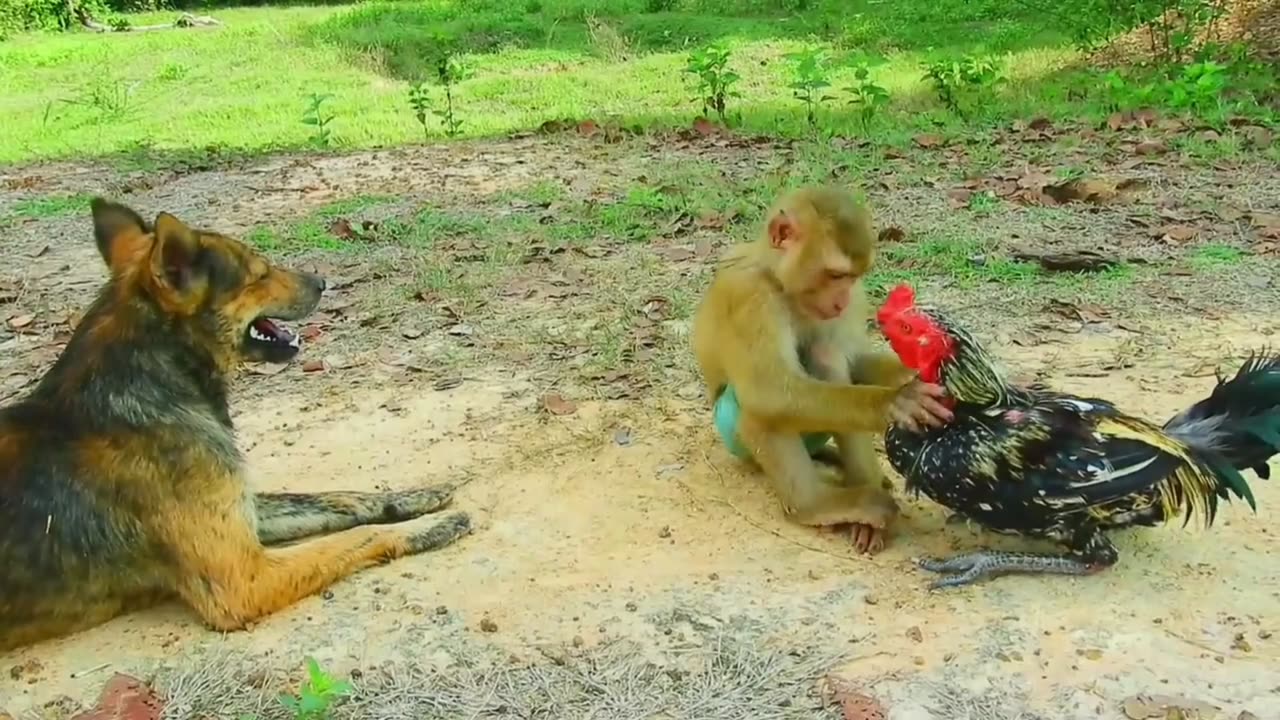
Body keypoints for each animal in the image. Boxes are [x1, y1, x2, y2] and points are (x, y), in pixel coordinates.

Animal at [0, 197, 471, 650]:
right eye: (258, 274)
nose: (322, 282)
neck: (147, 384)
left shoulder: (242, 511)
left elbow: (339, 499)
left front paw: (411, 497)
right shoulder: (243, 581)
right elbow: (357, 537)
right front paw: (427, 528)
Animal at [691, 183, 952, 548]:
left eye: (852, 277)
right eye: (835, 274)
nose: (841, 300)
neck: (779, 283)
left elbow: (854, 360)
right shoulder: (748, 297)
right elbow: (768, 392)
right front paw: (894, 401)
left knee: (827, 356)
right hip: (733, 437)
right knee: (761, 410)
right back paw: (813, 506)